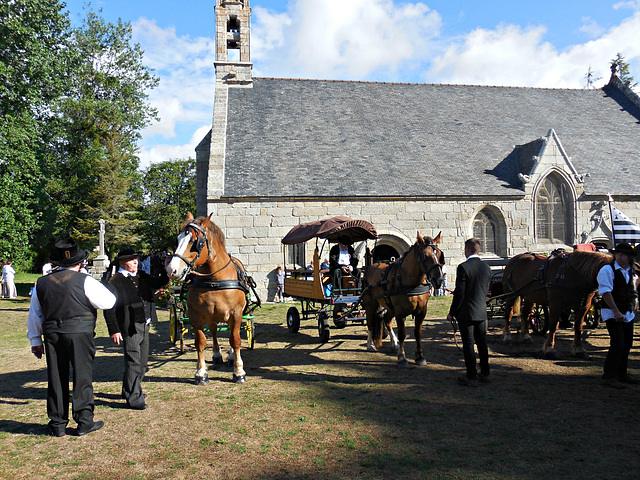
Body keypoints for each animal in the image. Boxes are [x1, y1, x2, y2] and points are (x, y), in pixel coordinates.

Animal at [166, 213, 249, 382]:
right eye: (178, 239)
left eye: (195, 242)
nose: (171, 270)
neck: (215, 280)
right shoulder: (195, 315)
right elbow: (201, 342)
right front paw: (201, 373)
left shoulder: (236, 313)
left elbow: (235, 340)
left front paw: (239, 371)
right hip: (211, 316)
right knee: (214, 331)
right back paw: (217, 354)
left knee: (231, 333)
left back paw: (231, 357)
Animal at [360, 232, 444, 368]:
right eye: (425, 255)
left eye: (440, 254)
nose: (439, 279)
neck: (411, 283)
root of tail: (370, 266)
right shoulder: (400, 312)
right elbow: (402, 334)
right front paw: (402, 358)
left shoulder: (422, 311)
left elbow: (418, 333)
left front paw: (420, 357)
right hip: (370, 304)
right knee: (370, 322)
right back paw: (370, 344)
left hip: (388, 306)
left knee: (386, 320)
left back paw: (394, 343)